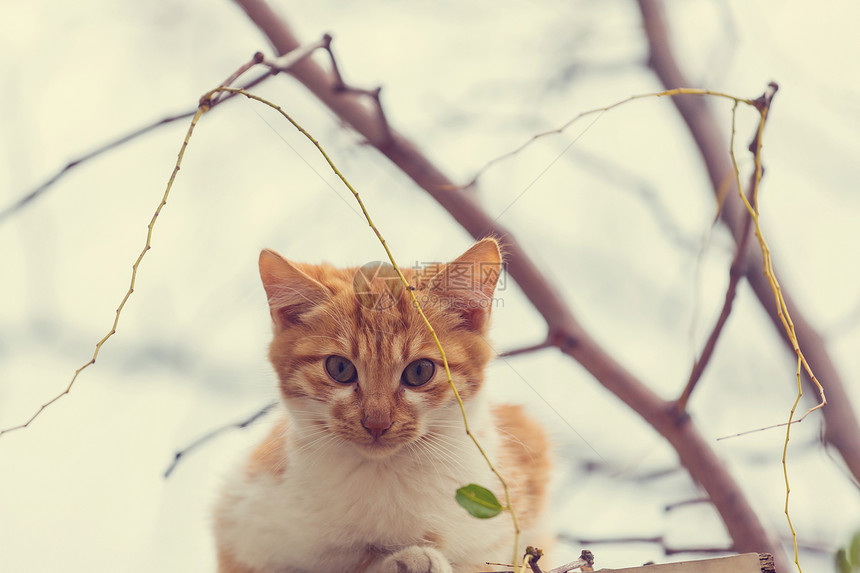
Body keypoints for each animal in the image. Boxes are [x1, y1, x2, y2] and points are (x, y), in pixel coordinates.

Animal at [214, 239, 552, 568]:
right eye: (340, 368)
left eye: (420, 371)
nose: (376, 422)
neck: (383, 473)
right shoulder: (239, 518)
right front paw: (401, 558)